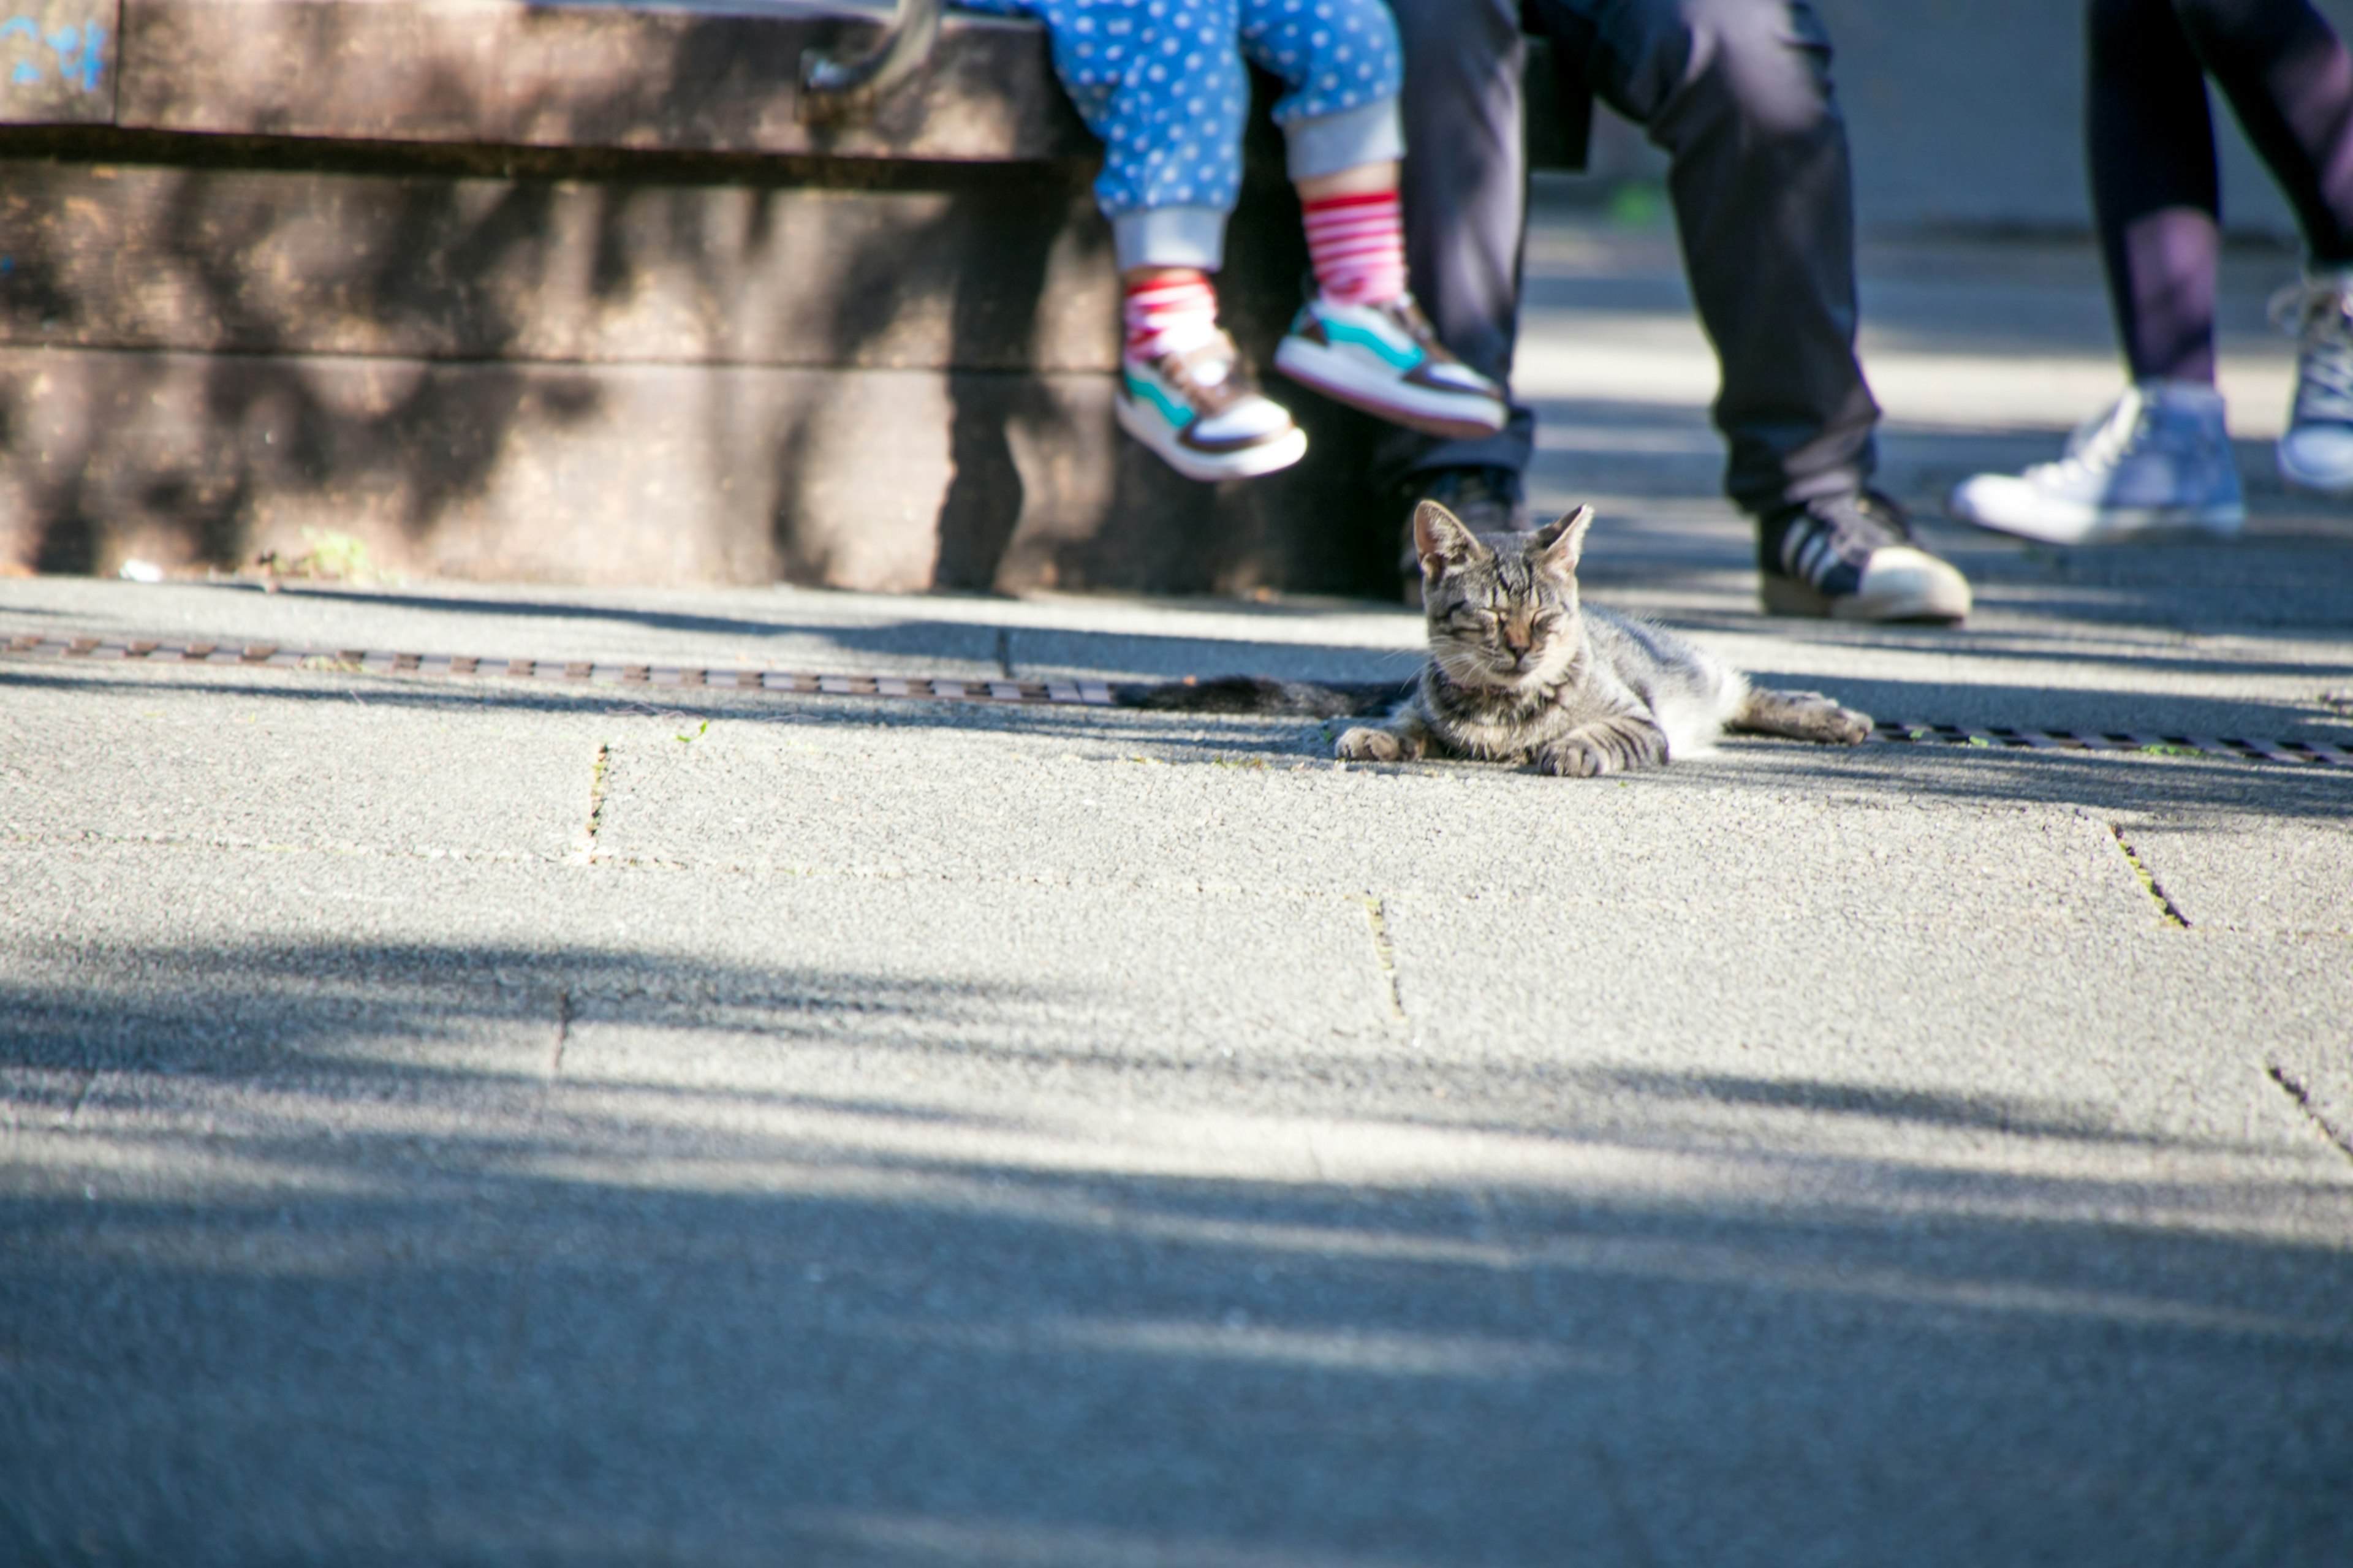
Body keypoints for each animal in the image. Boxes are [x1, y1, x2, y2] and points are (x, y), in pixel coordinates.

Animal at [1346, 496, 1873, 772]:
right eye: (1493, 614)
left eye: (1543, 616)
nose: (1519, 648)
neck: (1500, 708)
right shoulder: (1424, 709)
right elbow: (1409, 720)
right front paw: (1379, 734)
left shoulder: (1640, 721)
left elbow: (1603, 733)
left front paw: (1573, 746)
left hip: (1691, 672)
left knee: (1746, 693)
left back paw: (1829, 716)